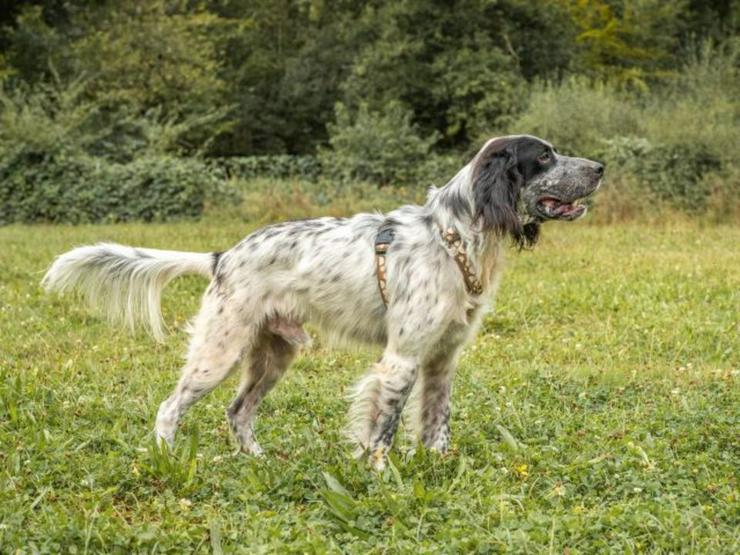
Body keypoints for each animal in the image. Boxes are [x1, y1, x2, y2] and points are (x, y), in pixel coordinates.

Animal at [43, 135, 604, 470]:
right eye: (544, 157)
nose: (599, 166)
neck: (455, 236)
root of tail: (224, 255)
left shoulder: (442, 360)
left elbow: (435, 424)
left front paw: (439, 467)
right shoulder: (400, 360)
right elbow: (383, 430)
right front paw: (381, 477)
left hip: (273, 356)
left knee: (238, 411)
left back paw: (257, 459)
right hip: (218, 352)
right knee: (169, 407)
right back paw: (167, 458)